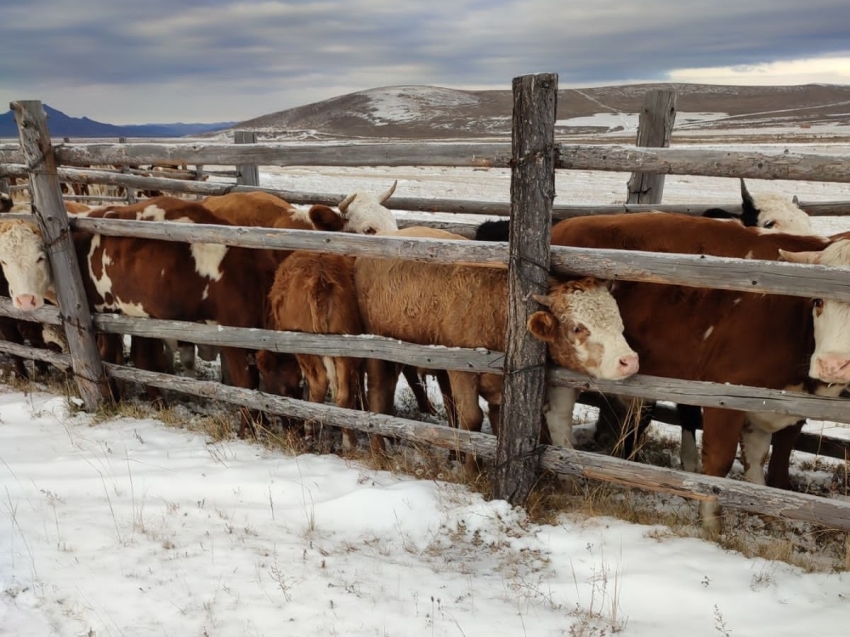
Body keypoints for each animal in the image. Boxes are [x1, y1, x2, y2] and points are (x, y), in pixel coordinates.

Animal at [352, 226, 636, 470]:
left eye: (618, 320)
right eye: (577, 327)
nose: (629, 361)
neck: (501, 311)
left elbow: (498, 422)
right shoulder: (463, 370)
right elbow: (472, 418)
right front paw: (472, 471)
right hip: (377, 347)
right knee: (378, 393)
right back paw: (379, 450)